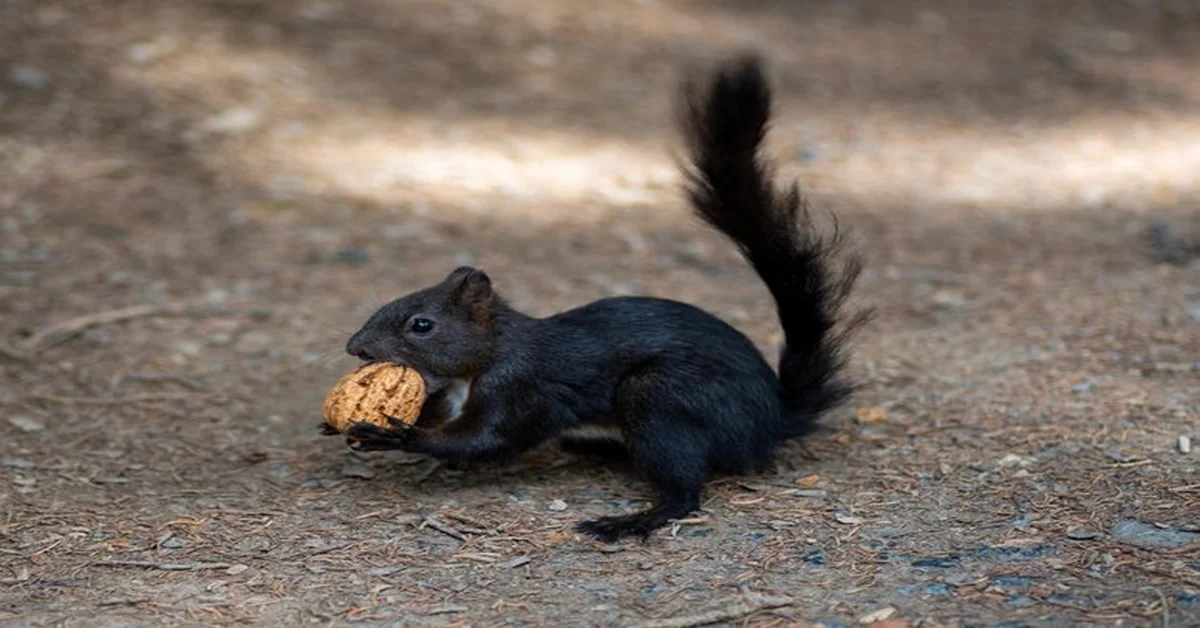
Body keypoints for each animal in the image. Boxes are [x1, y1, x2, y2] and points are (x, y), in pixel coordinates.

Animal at [328, 54, 868, 542]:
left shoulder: (522, 386)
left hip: (660, 397)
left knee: (684, 492)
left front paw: (398, 435)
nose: (356, 347)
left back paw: (630, 520)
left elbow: (490, 438)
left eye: (421, 324)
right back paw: (598, 448)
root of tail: (774, 419)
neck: (486, 355)